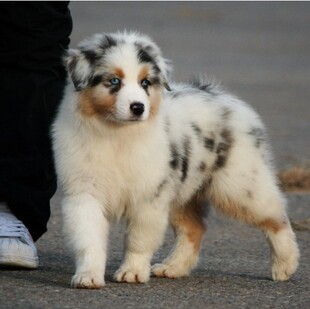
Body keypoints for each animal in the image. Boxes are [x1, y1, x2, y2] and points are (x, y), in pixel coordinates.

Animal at [52, 31, 300, 286]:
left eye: (145, 82)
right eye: (114, 81)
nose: (138, 107)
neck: (116, 134)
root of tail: (224, 97)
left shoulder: (150, 195)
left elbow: (138, 239)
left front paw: (132, 271)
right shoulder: (84, 192)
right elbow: (88, 239)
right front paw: (88, 276)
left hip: (241, 185)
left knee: (277, 216)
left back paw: (285, 265)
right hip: (183, 192)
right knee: (194, 228)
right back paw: (172, 267)